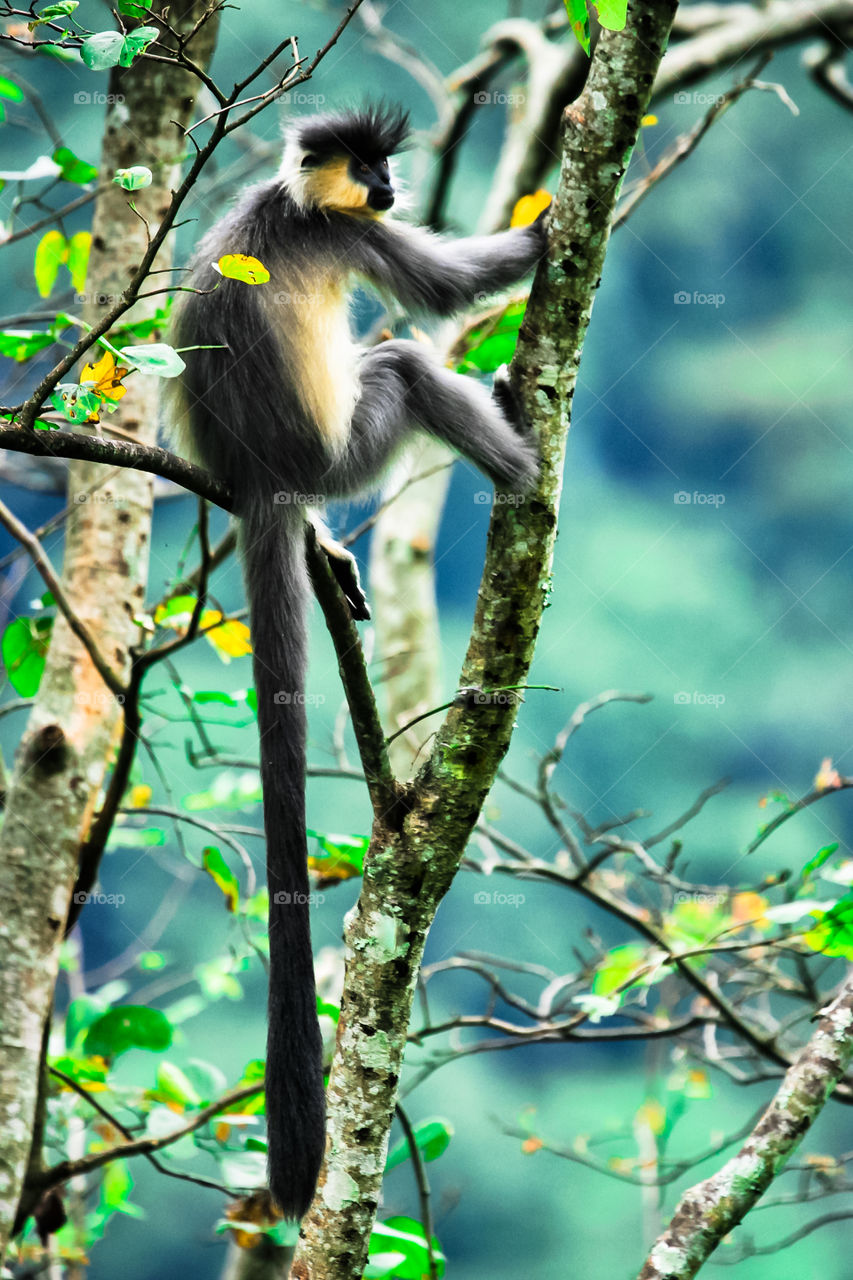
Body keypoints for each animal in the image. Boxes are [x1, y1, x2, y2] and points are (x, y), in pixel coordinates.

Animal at [167, 104, 548, 1220]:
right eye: (368, 168)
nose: (387, 186)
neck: (291, 204)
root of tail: (260, 477)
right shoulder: (349, 236)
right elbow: (445, 292)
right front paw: (542, 230)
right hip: (346, 448)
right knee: (406, 369)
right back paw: (520, 465)